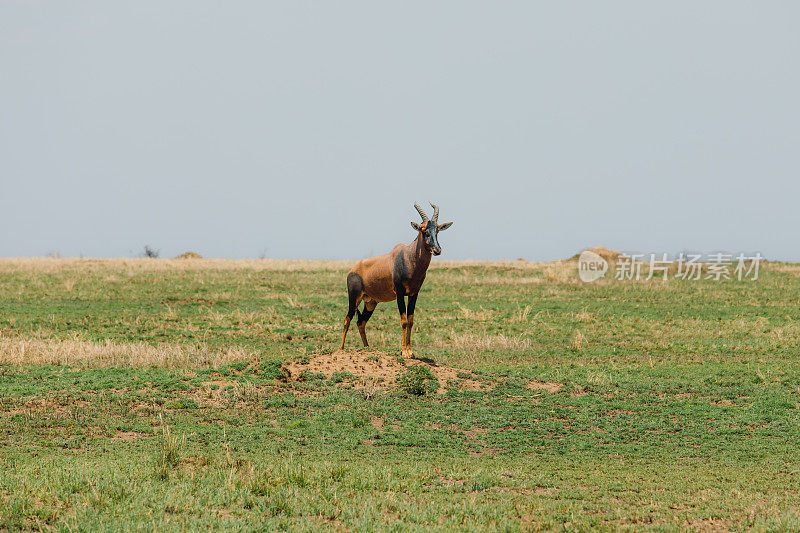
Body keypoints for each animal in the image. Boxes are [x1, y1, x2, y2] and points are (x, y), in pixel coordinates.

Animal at [338, 202, 450, 356]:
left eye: (437, 229)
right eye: (423, 230)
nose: (437, 250)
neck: (408, 257)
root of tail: (352, 270)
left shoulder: (414, 294)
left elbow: (411, 320)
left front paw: (410, 351)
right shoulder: (400, 293)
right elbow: (404, 320)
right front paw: (404, 351)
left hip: (371, 302)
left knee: (361, 322)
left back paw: (367, 348)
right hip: (354, 298)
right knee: (347, 319)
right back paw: (341, 349)